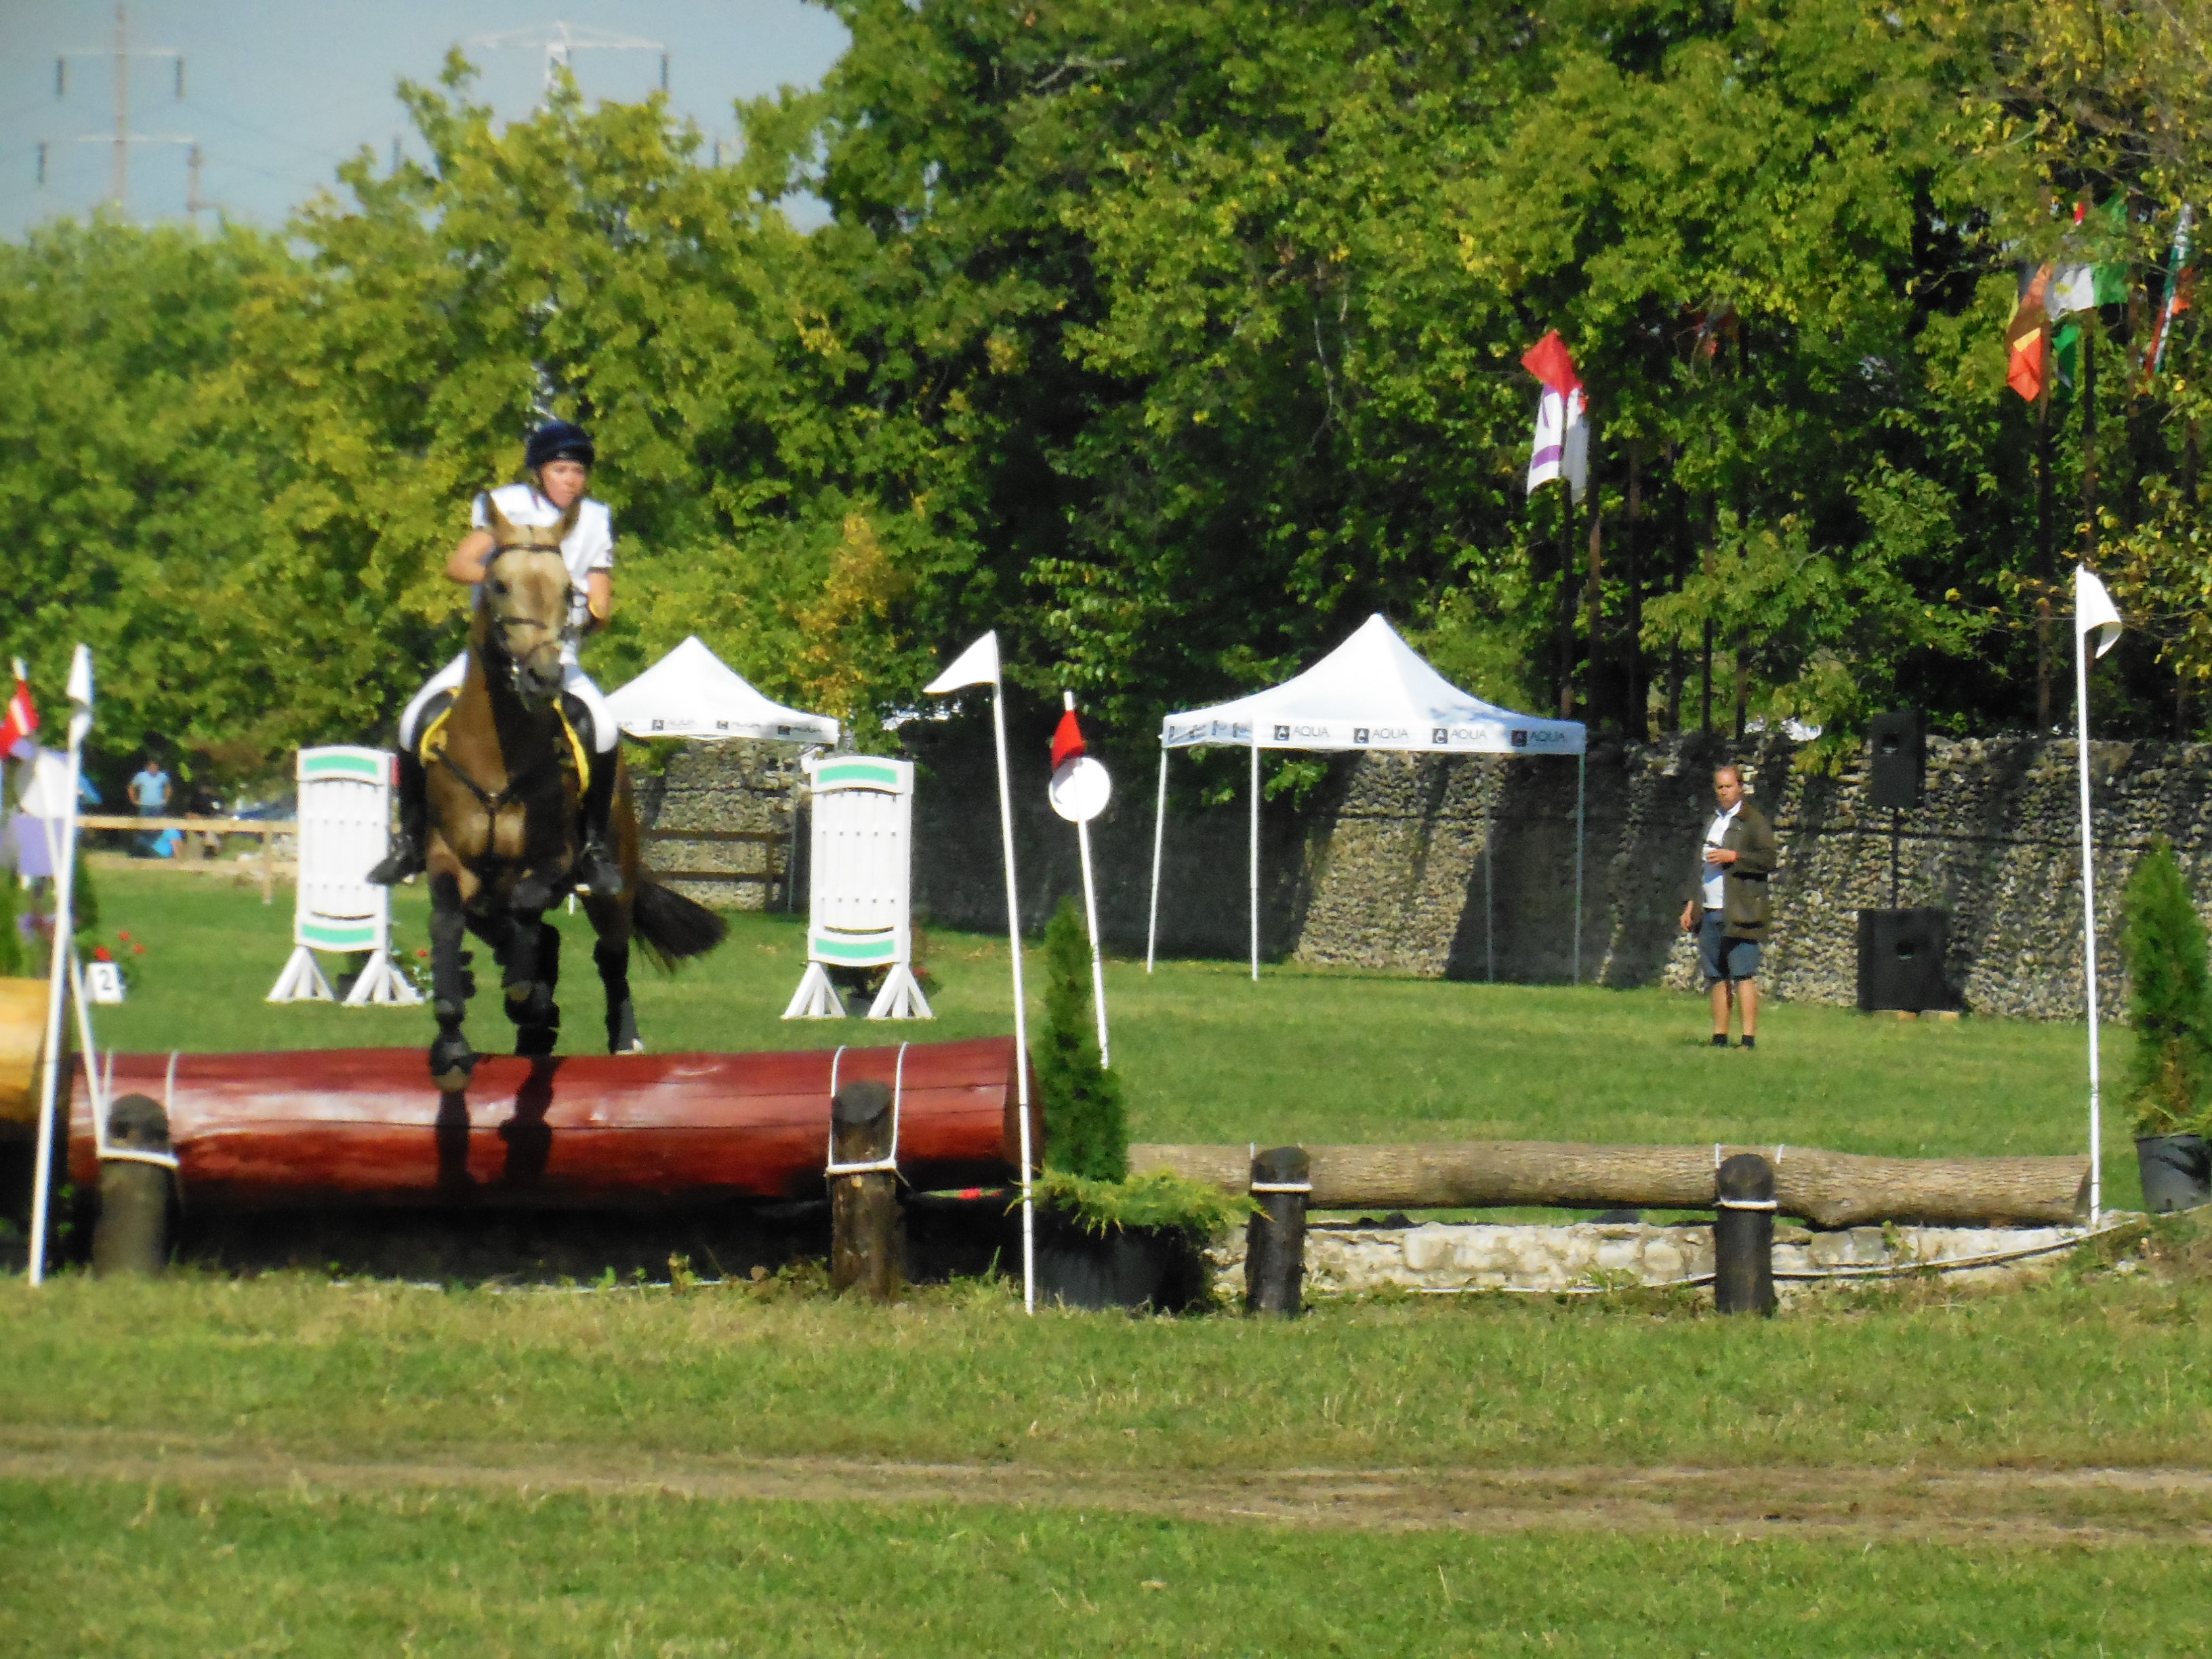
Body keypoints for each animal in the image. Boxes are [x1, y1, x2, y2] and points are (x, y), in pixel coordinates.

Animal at [415, 497, 725, 1092]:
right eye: (499, 585)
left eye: (569, 592)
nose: (543, 677)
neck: (497, 752)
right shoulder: (450, 859)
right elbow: (447, 921)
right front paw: (452, 1045)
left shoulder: (553, 859)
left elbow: (528, 907)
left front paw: (527, 997)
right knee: (522, 933)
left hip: (612, 883)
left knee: (610, 953)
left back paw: (619, 1037)